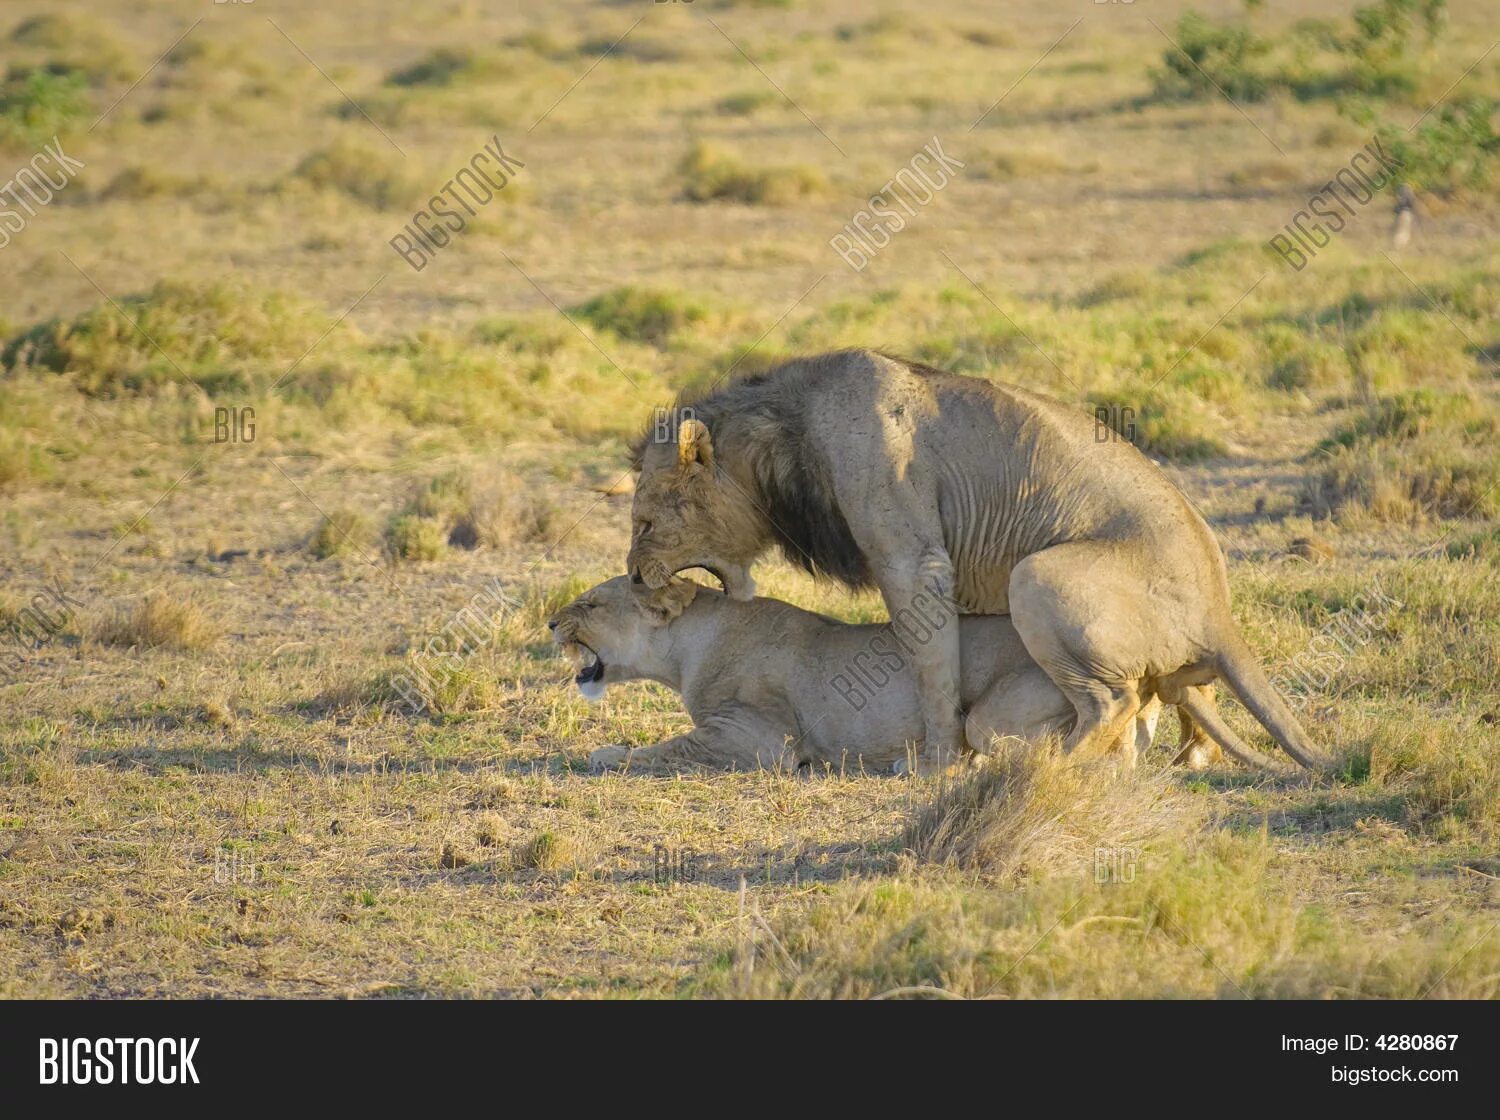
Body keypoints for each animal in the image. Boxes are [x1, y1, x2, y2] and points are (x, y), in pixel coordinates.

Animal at [546, 578, 1260, 773]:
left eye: (591, 604)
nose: (551, 621)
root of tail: (1145, 673)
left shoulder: (761, 738)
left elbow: (667, 746)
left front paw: (604, 754)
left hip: (992, 715)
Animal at [627, 347, 1332, 773]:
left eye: (646, 521)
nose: (634, 576)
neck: (784, 435)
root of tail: (1219, 609)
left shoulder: (914, 557)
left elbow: (932, 667)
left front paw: (937, 762)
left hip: (1035, 576)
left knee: (1113, 700)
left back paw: (1049, 768)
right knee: (1181, 693)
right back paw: (1190, 754)